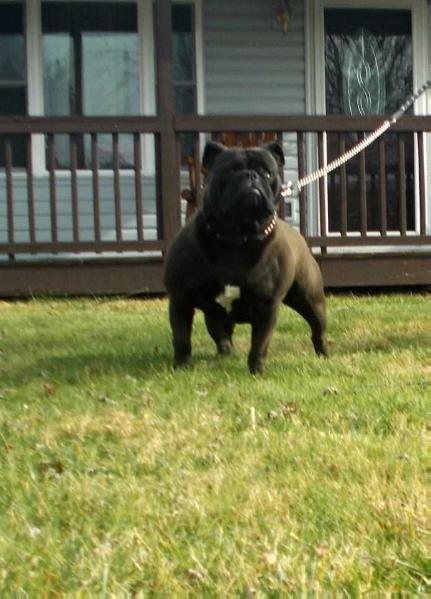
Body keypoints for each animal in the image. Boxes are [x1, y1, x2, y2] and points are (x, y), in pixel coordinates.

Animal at [164, 142, 330, 372]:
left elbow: (260, 343)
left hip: (310, 299)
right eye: (230, 170)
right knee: (219, 330)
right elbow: (181, 338)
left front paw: (257, 370)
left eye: (267, 172)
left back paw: (323, 354)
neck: (238, 236)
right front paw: (182, 366)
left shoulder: (267, 306)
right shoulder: (180, 298)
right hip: (214, 312)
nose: (251, 175)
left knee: (317, 327)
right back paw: (225, 352)